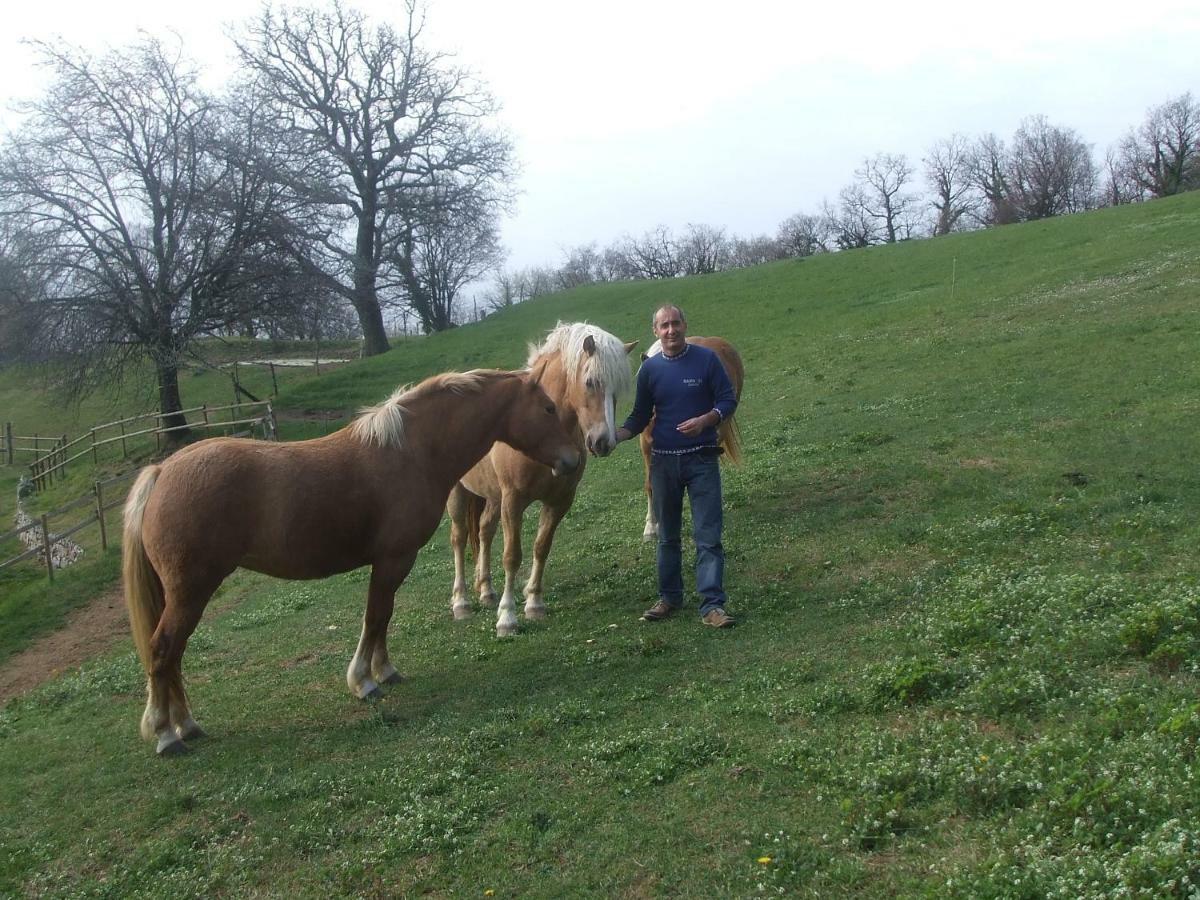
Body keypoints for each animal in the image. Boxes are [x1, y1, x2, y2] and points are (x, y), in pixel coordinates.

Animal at [119, 367, 578, 753]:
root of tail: (162, 472)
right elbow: (374, 617)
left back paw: (187, 725)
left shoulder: (392, 562)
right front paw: (363, 682)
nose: (573, 460)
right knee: (163, 651)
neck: (411, 451)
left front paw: (384, 671)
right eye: (548, 407)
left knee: (174, 658)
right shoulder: (393, 559)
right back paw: (166, 734)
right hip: (190, 592)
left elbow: (383, 617)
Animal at [448, 321, 638, 638]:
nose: (604, 443)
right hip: (459, 495)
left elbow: (542, 547)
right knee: (459, 538)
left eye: (617, 390)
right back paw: (461, 602)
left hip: (492, 497)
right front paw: (507, 618)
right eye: (590, 382)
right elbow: (512, 556)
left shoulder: (559, 501)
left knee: (484, 531)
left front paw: (534, 603)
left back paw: (486, 590)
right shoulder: (513, 501)